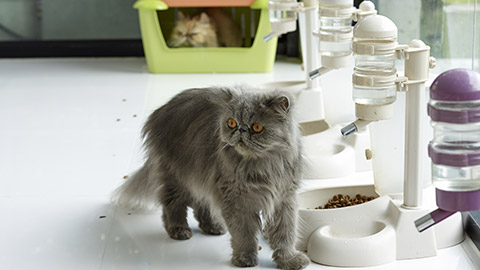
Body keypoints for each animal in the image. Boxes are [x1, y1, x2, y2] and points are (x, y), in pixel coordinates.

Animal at [111, 85, 308, 268]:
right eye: (231, 123)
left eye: (257, 127)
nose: (240, 130)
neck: (262, 166)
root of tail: (162, 109)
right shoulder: (236, 199)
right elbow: (243, 233)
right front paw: (245, 259)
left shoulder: (283, 200)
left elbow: (286, 234)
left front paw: (289, 260)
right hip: (176, 176)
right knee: (172, 205)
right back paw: (179, 230)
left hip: (203, 177)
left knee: (200, 204)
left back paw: (213, 227)